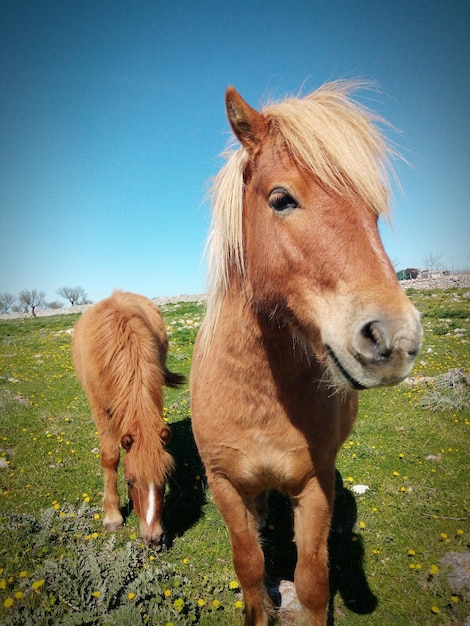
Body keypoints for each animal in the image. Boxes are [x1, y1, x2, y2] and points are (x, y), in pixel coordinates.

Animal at [72, 290, 185, 544]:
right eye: (131, 481)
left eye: (165, 479)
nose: (153, 539)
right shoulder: (100, 408)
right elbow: (111, 457)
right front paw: (113, 516)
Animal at [191, 80, 422, 620]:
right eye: (281, 199)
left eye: (373, 212)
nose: (395, 339)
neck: (258, 395)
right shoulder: (225, 485)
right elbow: (250, 569)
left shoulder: (314, 487)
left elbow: (313, 581)